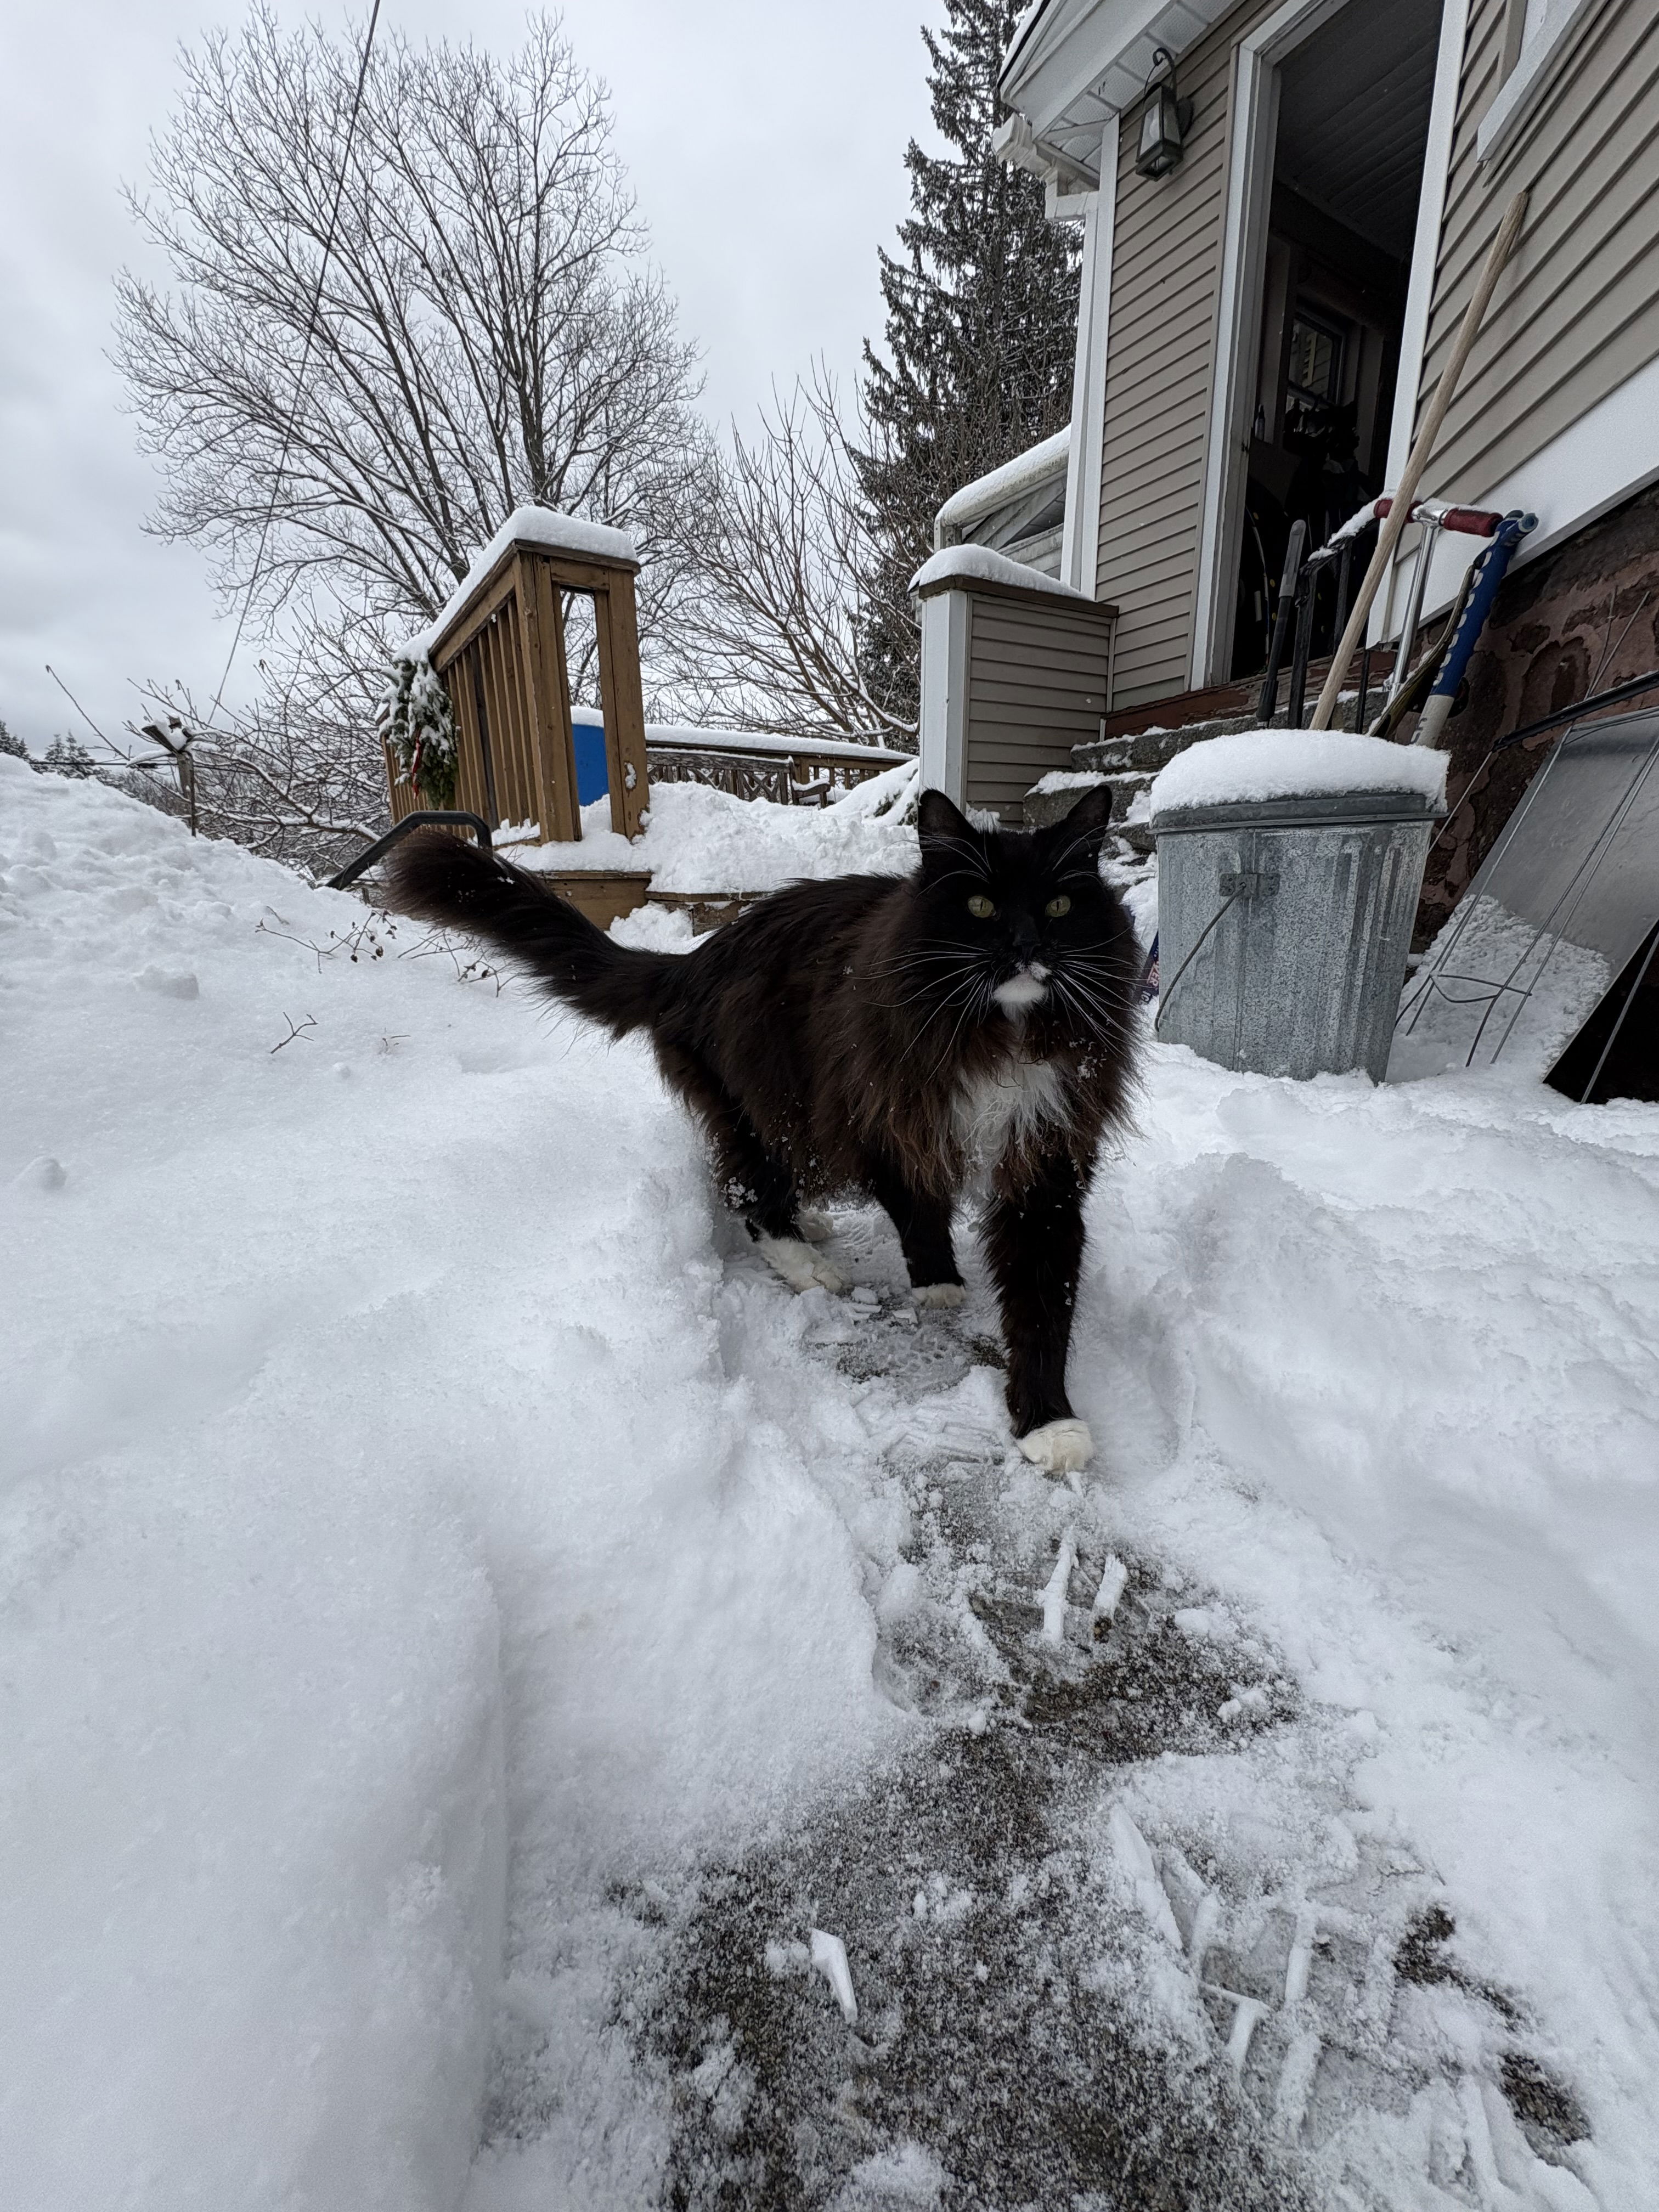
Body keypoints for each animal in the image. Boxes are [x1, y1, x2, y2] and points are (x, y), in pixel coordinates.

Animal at [391, 787, 1141, 1477]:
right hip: (766, 1101)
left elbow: (1044, 1304)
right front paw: (938, 1285)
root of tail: (689, 962)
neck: (1002, 1036)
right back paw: (808, 1265)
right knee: (745, 1191)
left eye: (1059, 908)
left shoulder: (1047, 1162)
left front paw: (1050, 1421)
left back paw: (809, 1226)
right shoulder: (881, 1118)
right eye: (981, 906)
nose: (1027, 947)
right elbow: (918, 1210)